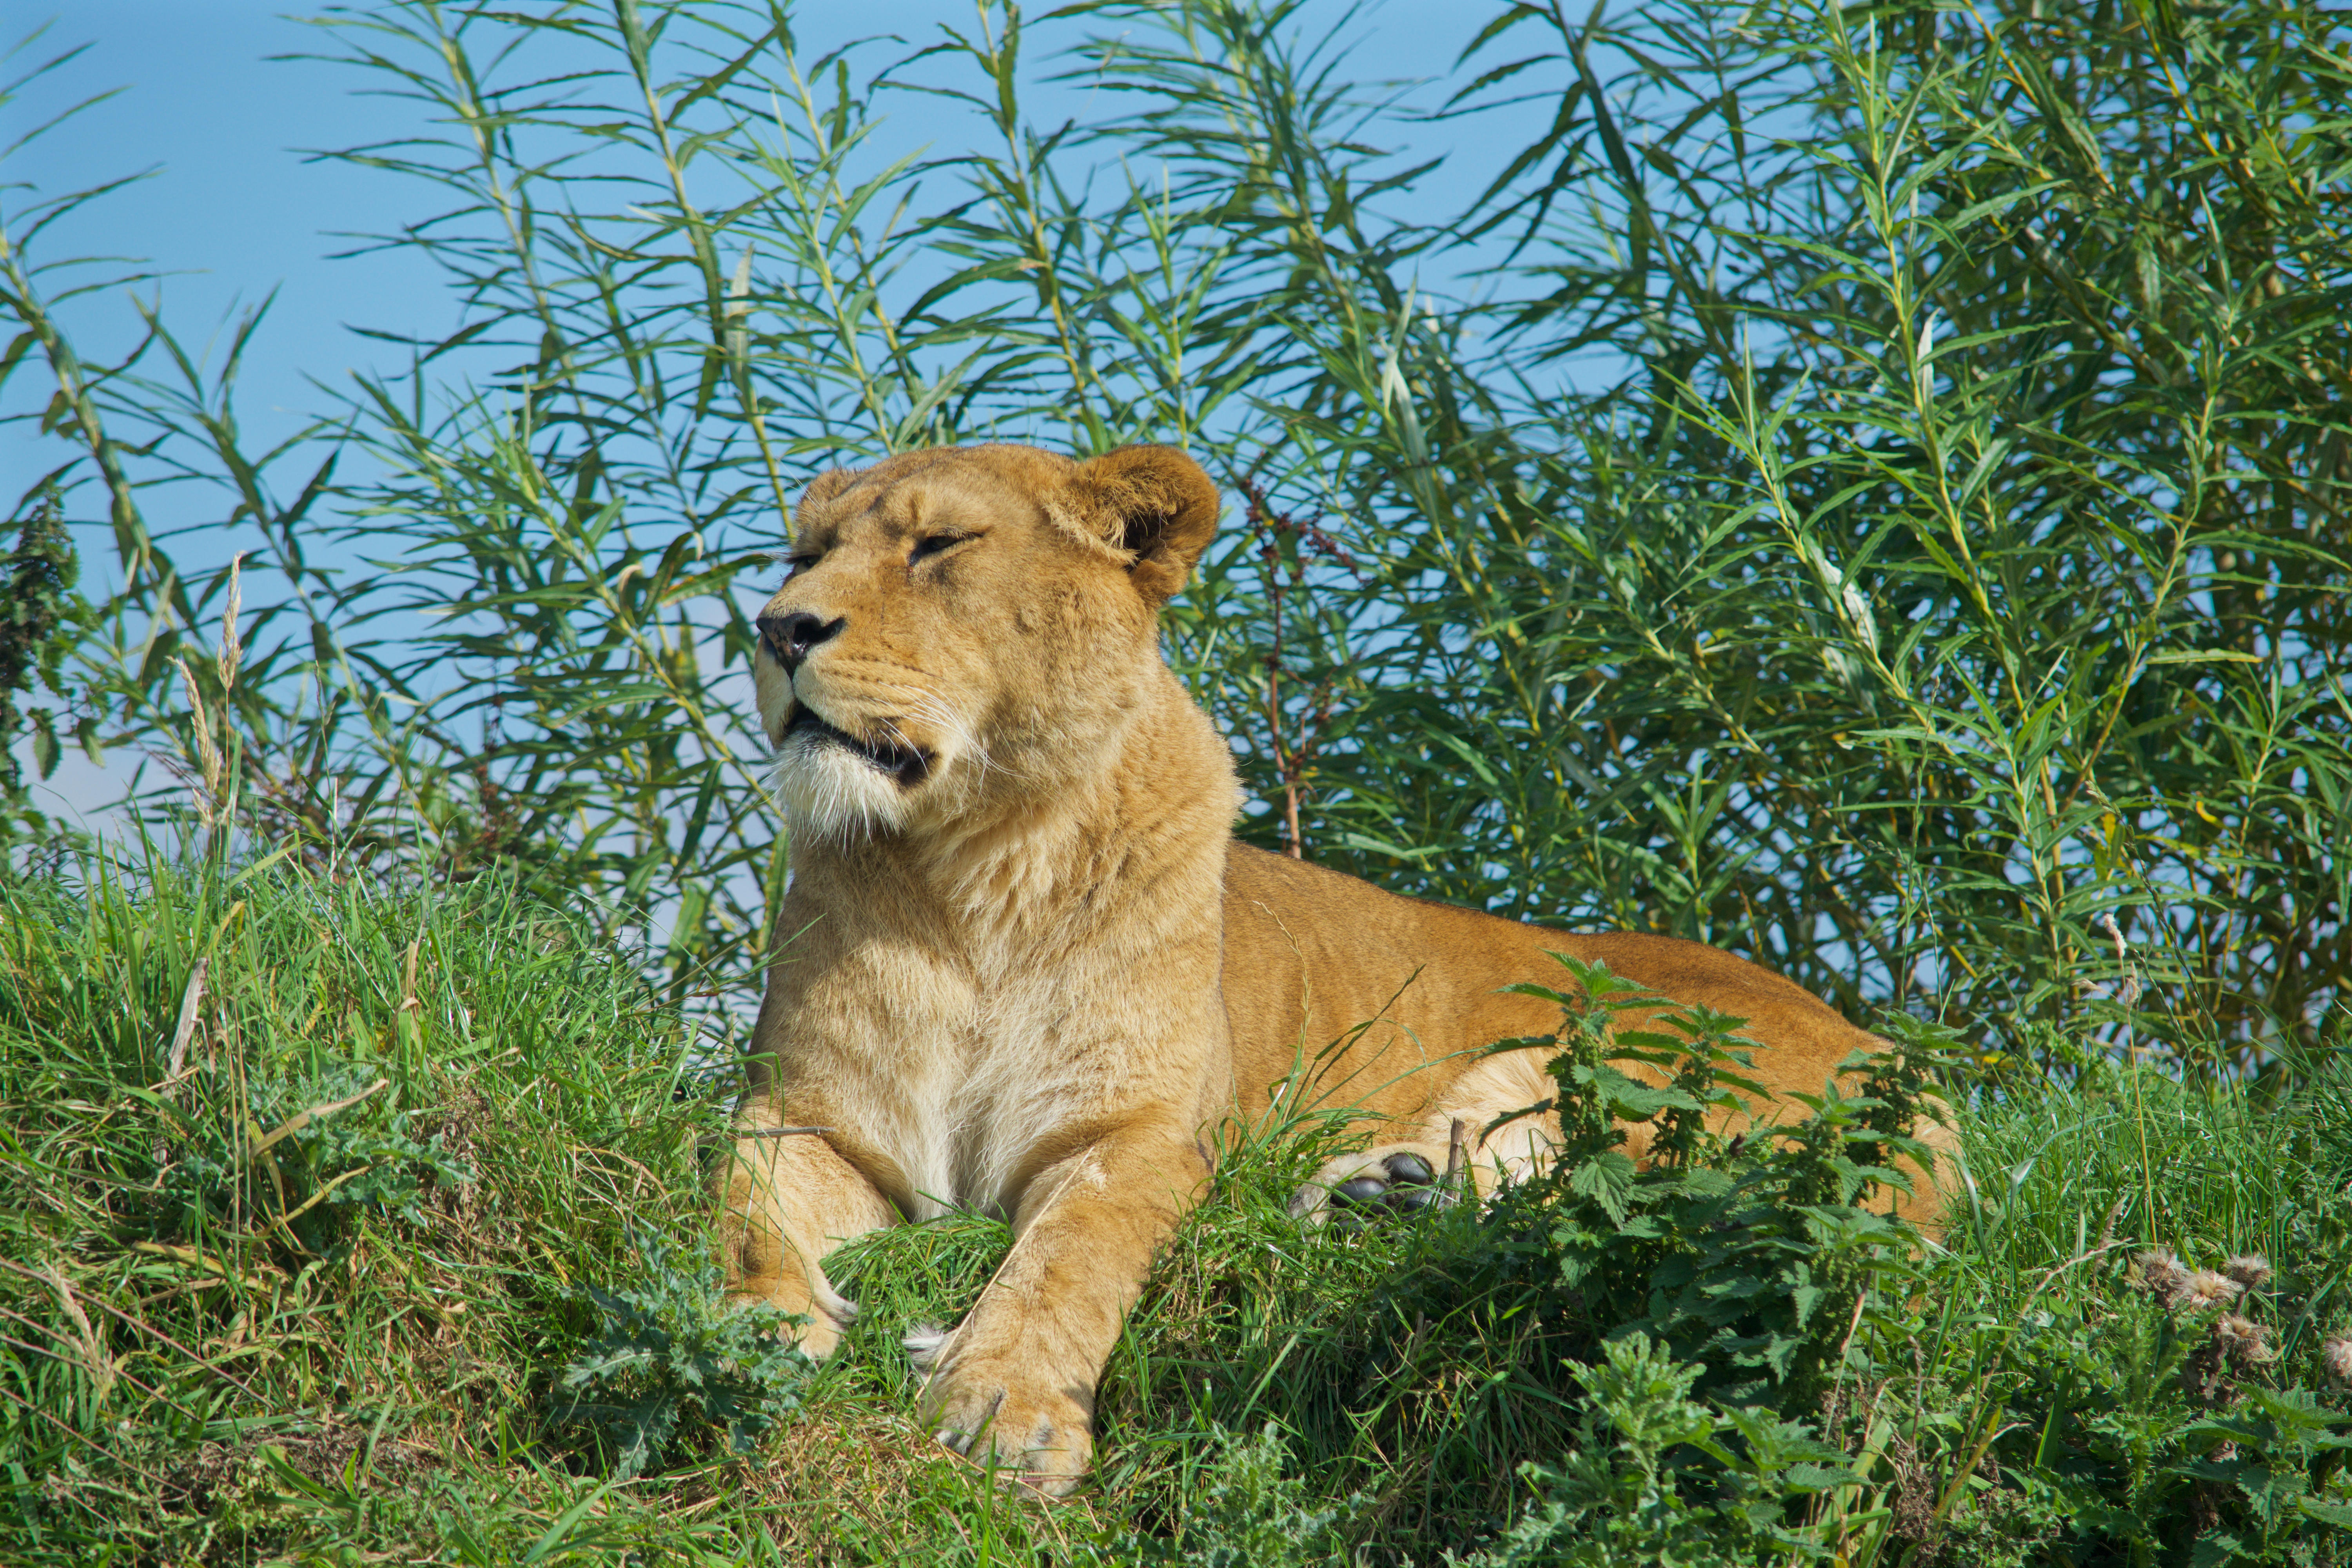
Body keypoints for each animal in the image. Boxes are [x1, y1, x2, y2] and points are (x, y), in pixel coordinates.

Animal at [720, 442, 1953, 1494]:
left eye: (938, 547)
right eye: (801, 555)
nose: (778, 630)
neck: (977, 869)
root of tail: (1905, 1064)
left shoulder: (1138, 1134)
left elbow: (1071, 1259)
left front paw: (1005, 1409)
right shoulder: (810, 1113)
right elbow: (741, 1206)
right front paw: (753, 1332)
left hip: (1618, 1034)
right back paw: (1382, 1195)